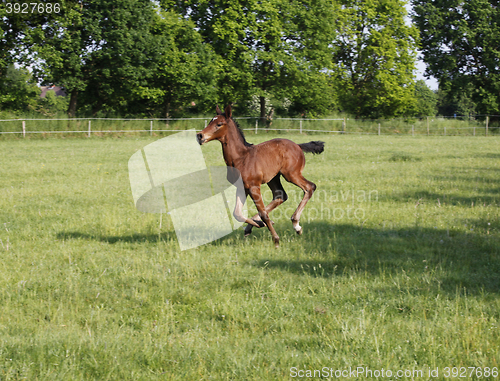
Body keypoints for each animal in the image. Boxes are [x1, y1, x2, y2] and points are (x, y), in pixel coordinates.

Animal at [195, 104, 324, 246]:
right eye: (210, 121)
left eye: (219, 124)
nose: (200, 136)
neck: (241, 158)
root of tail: (298, 146)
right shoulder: (242, 187)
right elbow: (237, 213)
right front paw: (258, 224)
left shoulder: (253, 186)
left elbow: (263, 213)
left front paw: (276, 239)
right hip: (273, 178)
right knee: (280, 195)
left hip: (291, 174)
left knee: (310, 187)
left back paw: (296, 225)